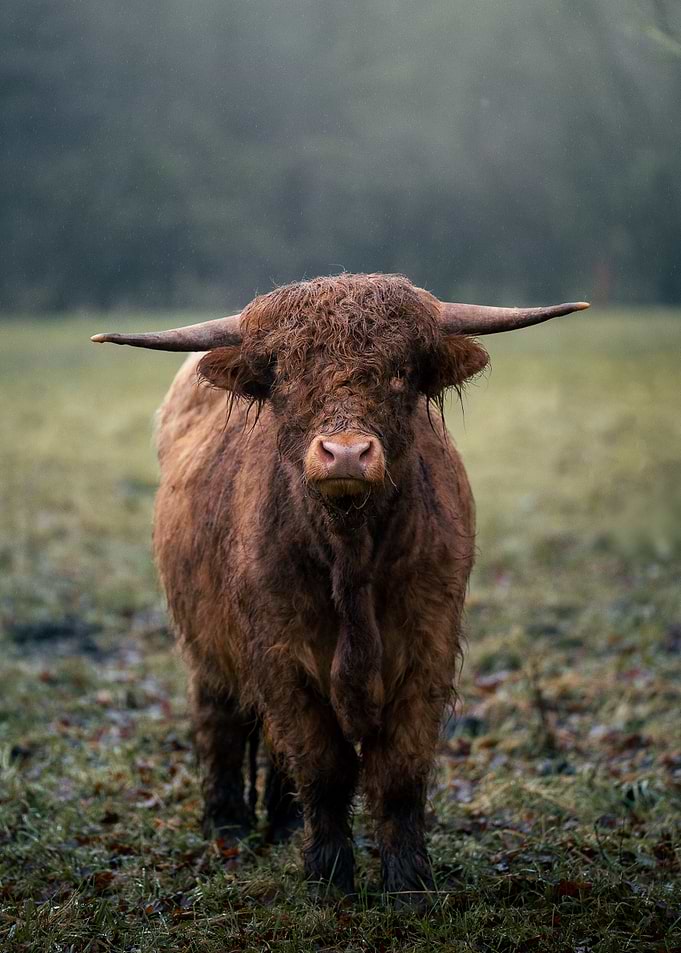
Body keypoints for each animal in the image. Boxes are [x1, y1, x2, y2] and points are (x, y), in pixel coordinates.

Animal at [92, 273, 587, 904]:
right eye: (284, 375)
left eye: (400, 371)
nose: (346, 454)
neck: (350, 559)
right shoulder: (280, 655)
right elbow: (322, 766)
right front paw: (329, 878)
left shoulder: (427, 651)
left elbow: (398, 774)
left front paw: (408, 884)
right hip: (203, 640)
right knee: (219, 717)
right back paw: (227, 825)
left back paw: (283, 826)